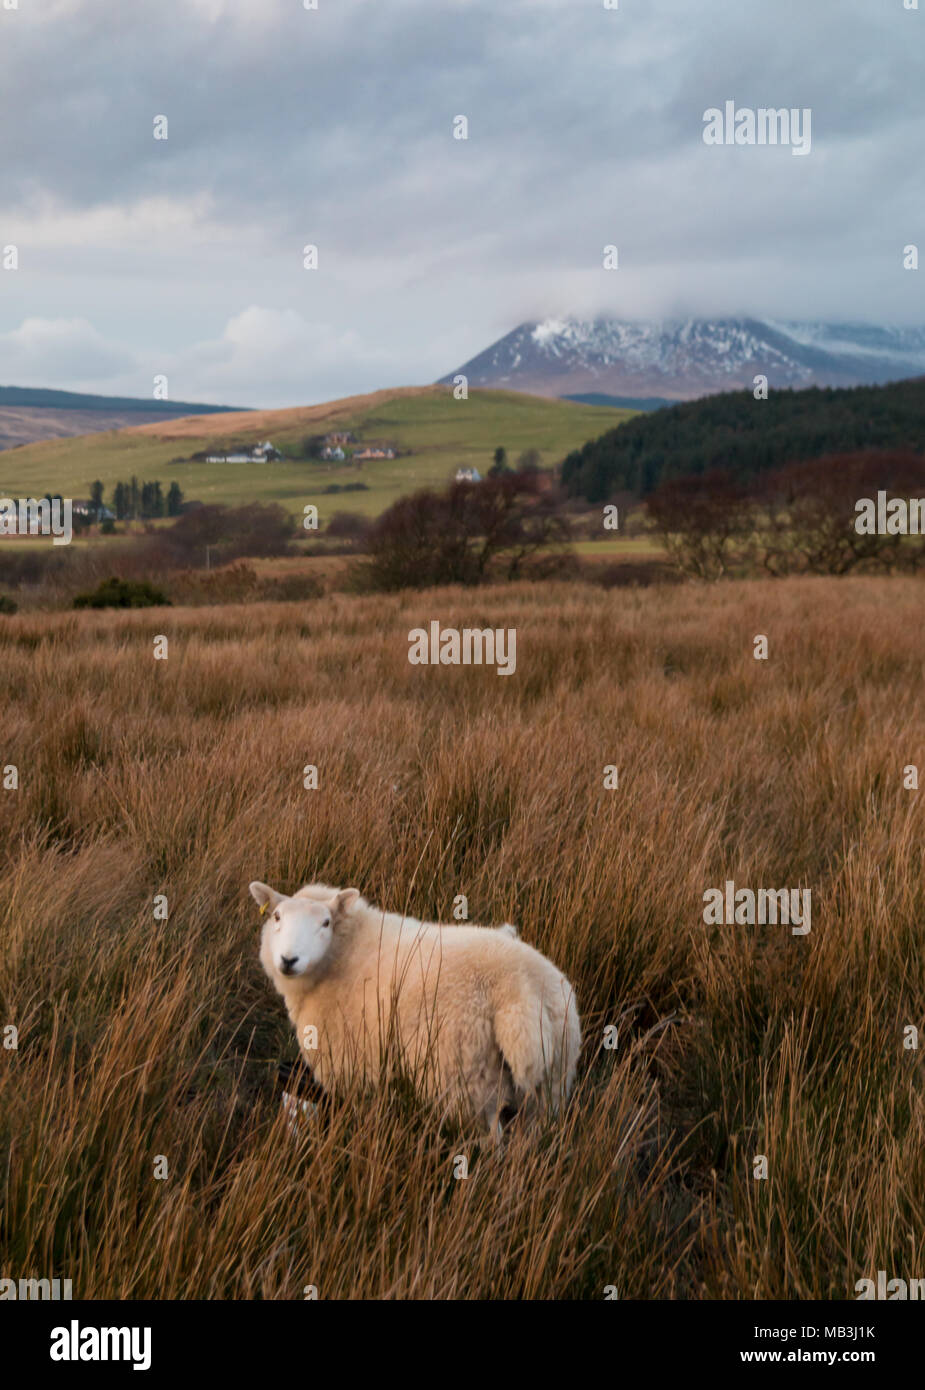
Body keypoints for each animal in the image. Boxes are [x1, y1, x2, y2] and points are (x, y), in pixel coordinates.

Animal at [248, 878, 581, 1139]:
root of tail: (517, 988)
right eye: (276, 917)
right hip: (550, 1083)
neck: (343, 953)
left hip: (463, 1083)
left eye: (325, 923)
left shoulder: (348, 1065)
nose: (288, 960)